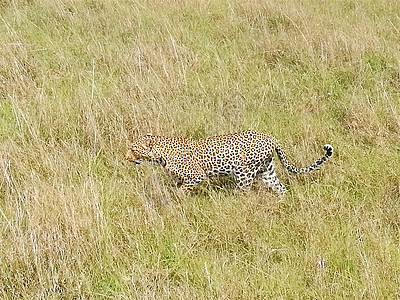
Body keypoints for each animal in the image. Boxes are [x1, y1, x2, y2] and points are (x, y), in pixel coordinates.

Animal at [126, 130, 334, 193]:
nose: (125, 157)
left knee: (244, 193)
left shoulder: (196, 176)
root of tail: (271, 138)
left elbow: (182, 191)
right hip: (267, 171)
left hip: (244, 174)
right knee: (280, 188)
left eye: (133, 149)